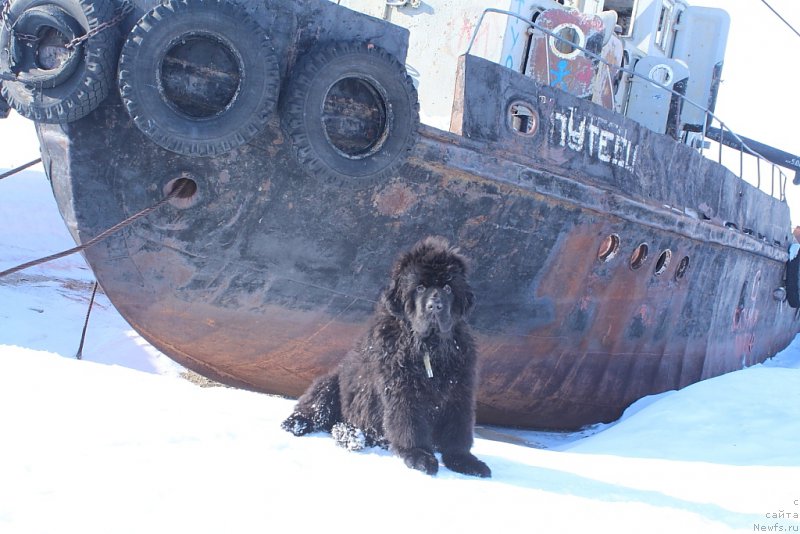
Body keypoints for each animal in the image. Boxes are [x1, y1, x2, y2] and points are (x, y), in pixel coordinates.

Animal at [284, 237, 490, 480]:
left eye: (448, 288)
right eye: (420, 287)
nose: (435, 306)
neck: (429, 347)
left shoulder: (459, 390)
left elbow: (458, 431)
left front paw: (465, 461)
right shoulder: (403, 389)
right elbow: (409, 425)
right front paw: (419, 456)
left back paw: (351, 435)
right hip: (330, 384)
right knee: (314, 408)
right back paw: (302, 424)